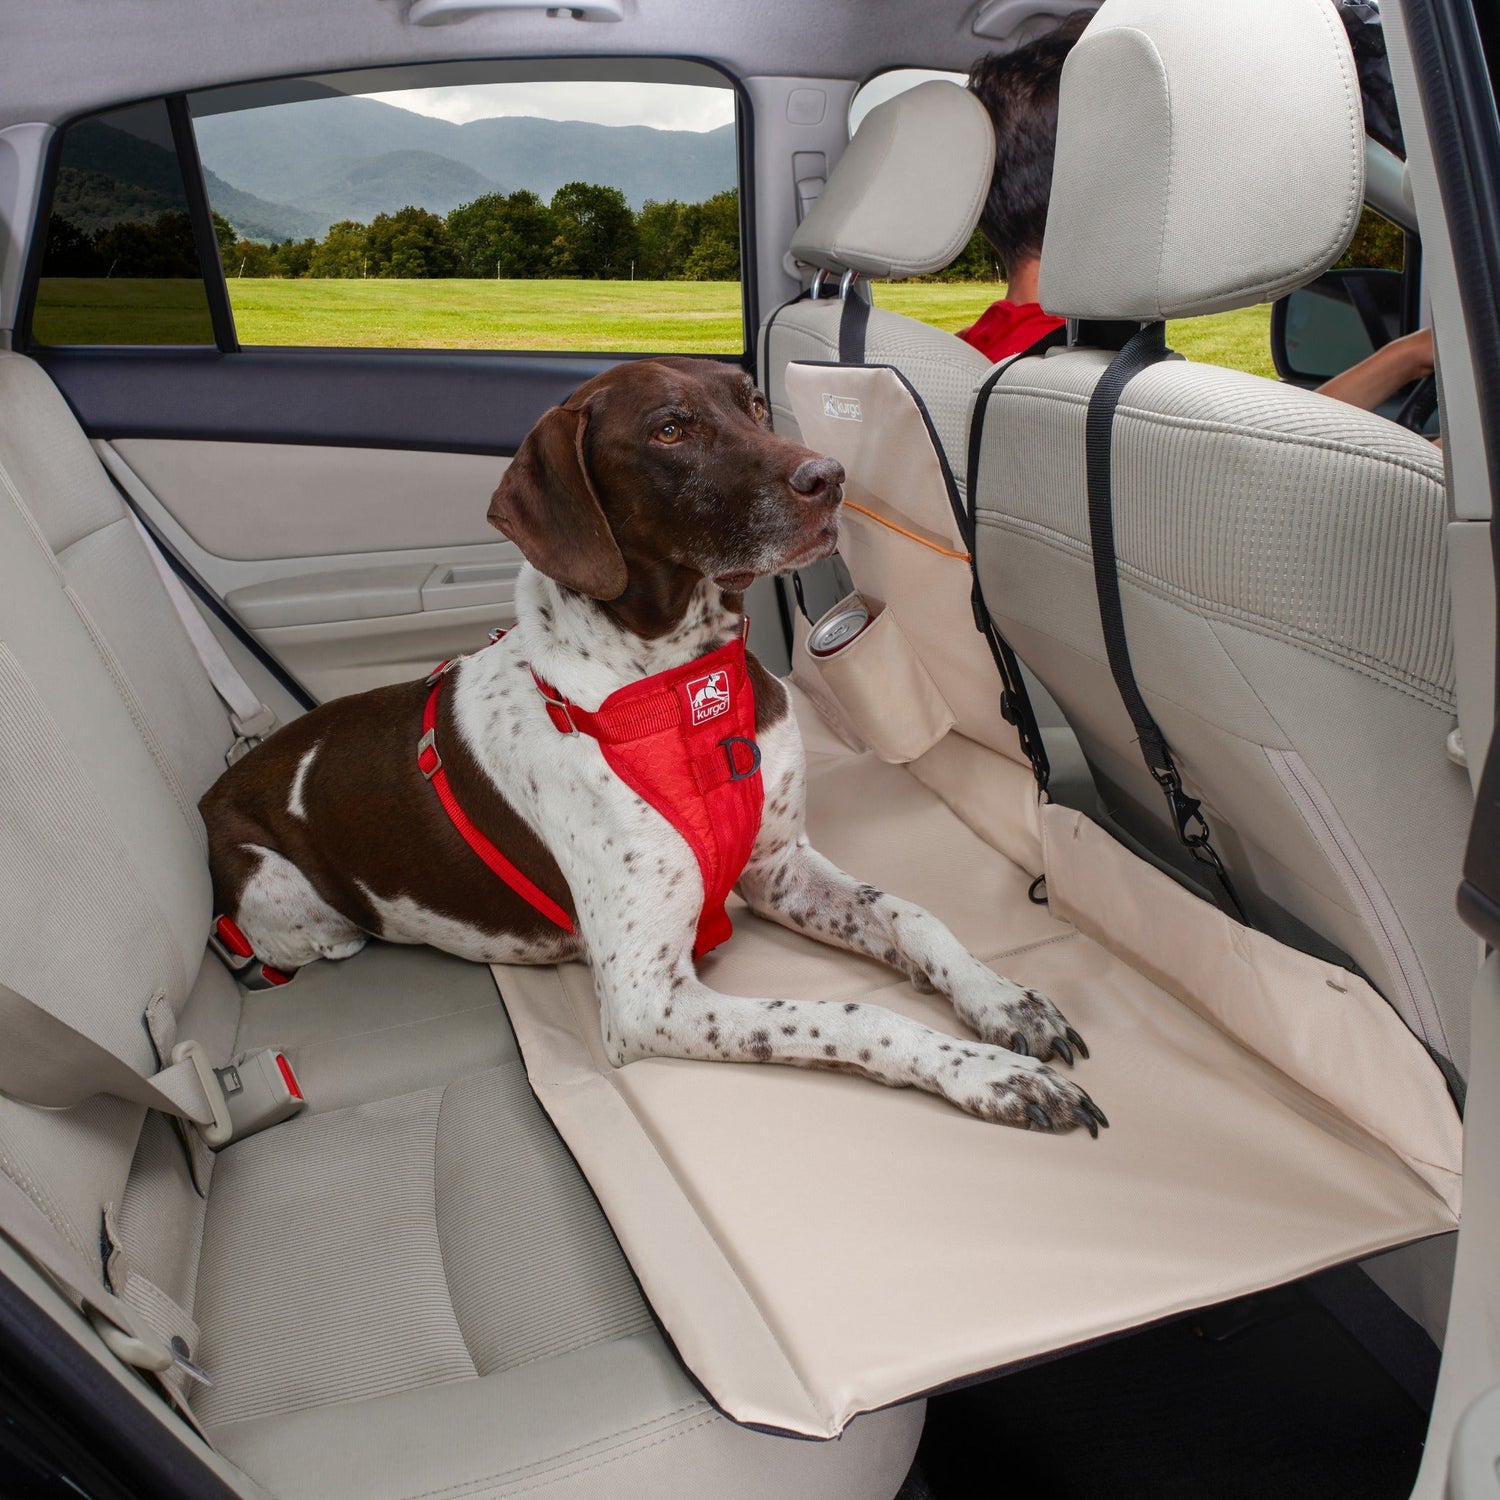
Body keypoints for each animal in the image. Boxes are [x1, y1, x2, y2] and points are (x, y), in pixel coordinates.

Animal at [202, 360, 1104, 1134]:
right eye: (670, 430)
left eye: (755, 404)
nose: (832, 476)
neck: (680, 691)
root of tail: (218, 784)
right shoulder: (648, 997)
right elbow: (849, 1013)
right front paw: (987, 1074)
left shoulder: (779, 867)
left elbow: (912, 914)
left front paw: (1002, 999)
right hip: (275, 889)